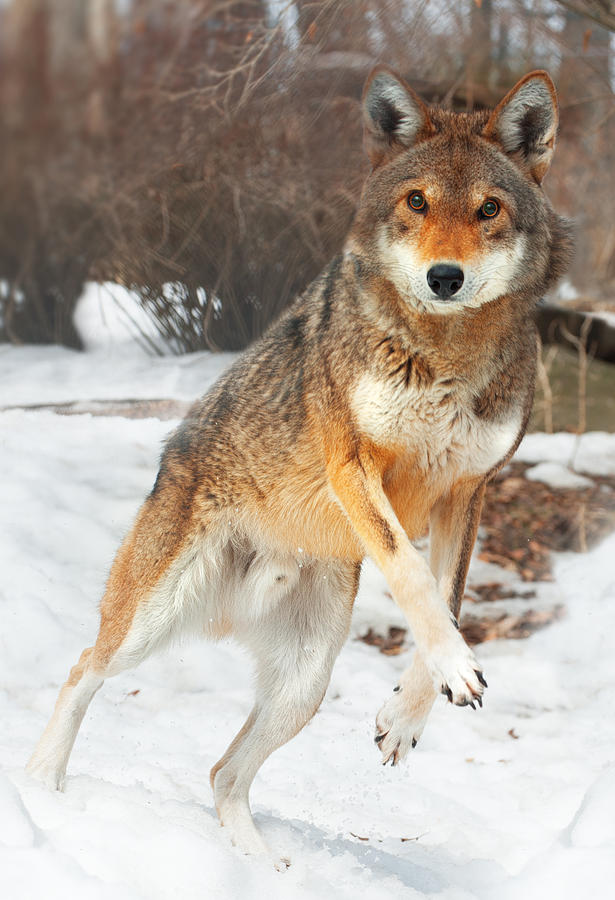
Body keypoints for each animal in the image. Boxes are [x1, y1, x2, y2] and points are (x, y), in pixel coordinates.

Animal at [25, 65, 572, 864]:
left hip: (305, 685)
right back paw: (40, 790)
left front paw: (410, 713)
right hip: (147, 626)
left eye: (488, 209)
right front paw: (452, 667)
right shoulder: (354, 464)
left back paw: (261, 867)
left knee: (223, 772)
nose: (444, 277)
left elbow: (447, 595)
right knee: (79, 671)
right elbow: (412, 575)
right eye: (417, 202)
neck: (444, 352)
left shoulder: (469, 491)